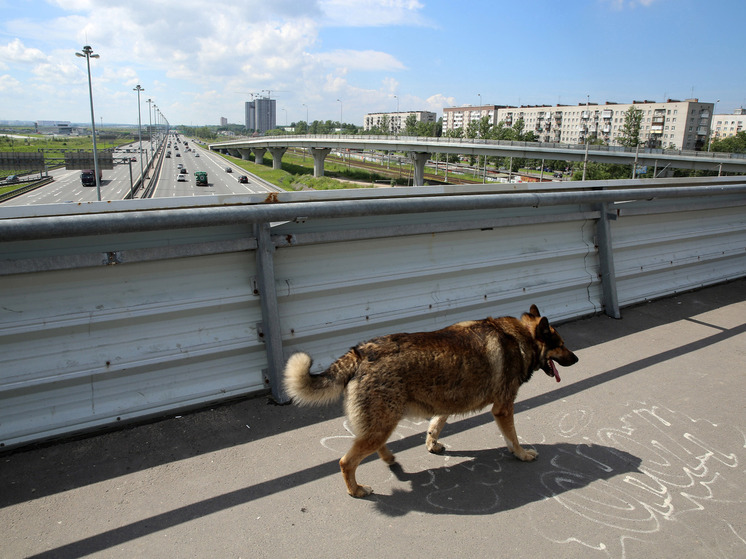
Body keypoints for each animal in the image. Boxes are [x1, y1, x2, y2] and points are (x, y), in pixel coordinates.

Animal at [282, 306, 580, 498]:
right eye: (560, 344)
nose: (576, 359)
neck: (519, 338)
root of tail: (361, 352)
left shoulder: (445, 404)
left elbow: (435, 426)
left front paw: (432, 444)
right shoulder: (503, 409)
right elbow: (513, 439)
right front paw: (521, 454)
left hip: (382, 423)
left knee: (374, 446)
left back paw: (388, 458)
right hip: (381, 424)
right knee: (347, 462)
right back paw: (355, 490)